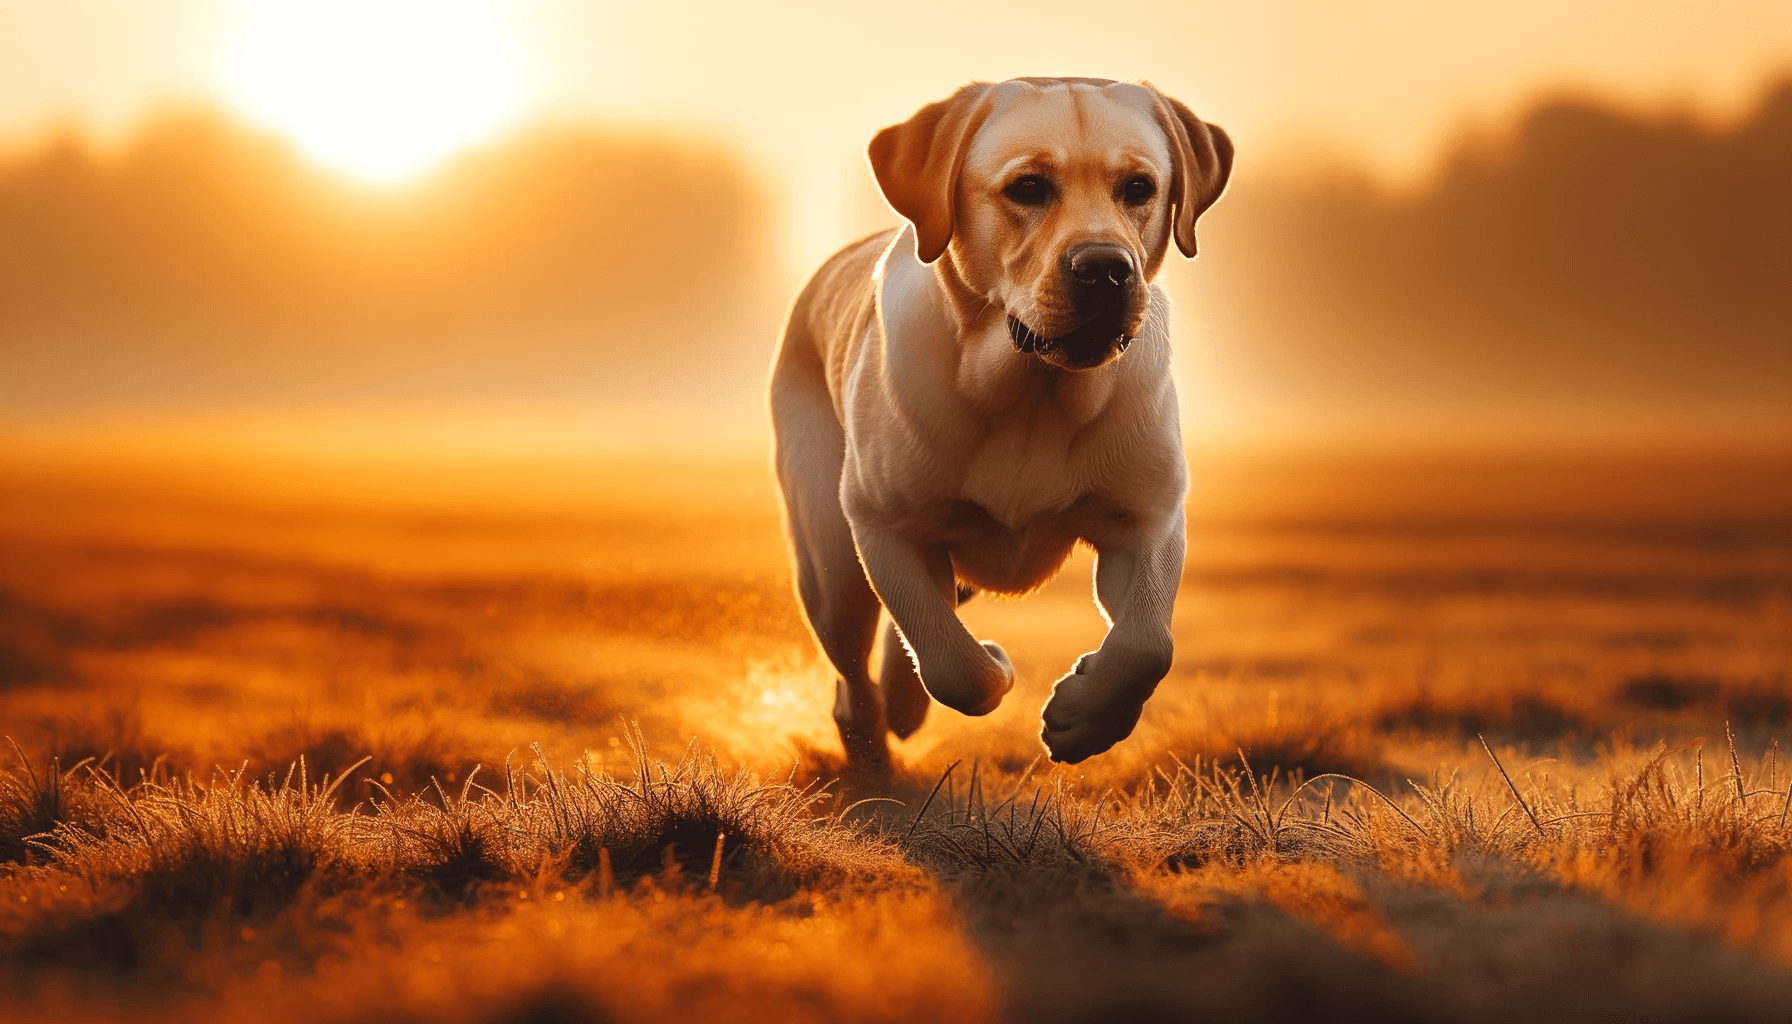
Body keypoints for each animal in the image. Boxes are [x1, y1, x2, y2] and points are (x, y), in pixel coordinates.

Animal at [770, 80, 1232, 767]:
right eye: (1028, 187)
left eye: (1139, 188)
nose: (1105, 267)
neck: (1033, 394)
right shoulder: (883, 524)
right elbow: (953, 662)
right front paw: (996, 666)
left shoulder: (1146, 516)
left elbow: (1147, 644)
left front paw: (1085, 718)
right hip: (830, 565)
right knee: (854, 672)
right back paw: (875, 750)